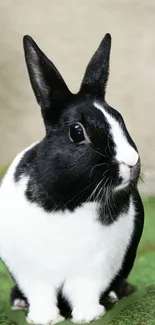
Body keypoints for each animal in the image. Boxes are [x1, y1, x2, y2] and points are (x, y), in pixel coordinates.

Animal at [0, 33, 144, 324]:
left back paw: (115, 295)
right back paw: (19, 302)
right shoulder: (33, 273)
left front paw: (88, 315)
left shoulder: (94, 269)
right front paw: (44, 318)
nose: (131, 161)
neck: (71, 201)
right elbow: (41, 295)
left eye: (120, 119)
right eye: (77, 132)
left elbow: (84, 292)